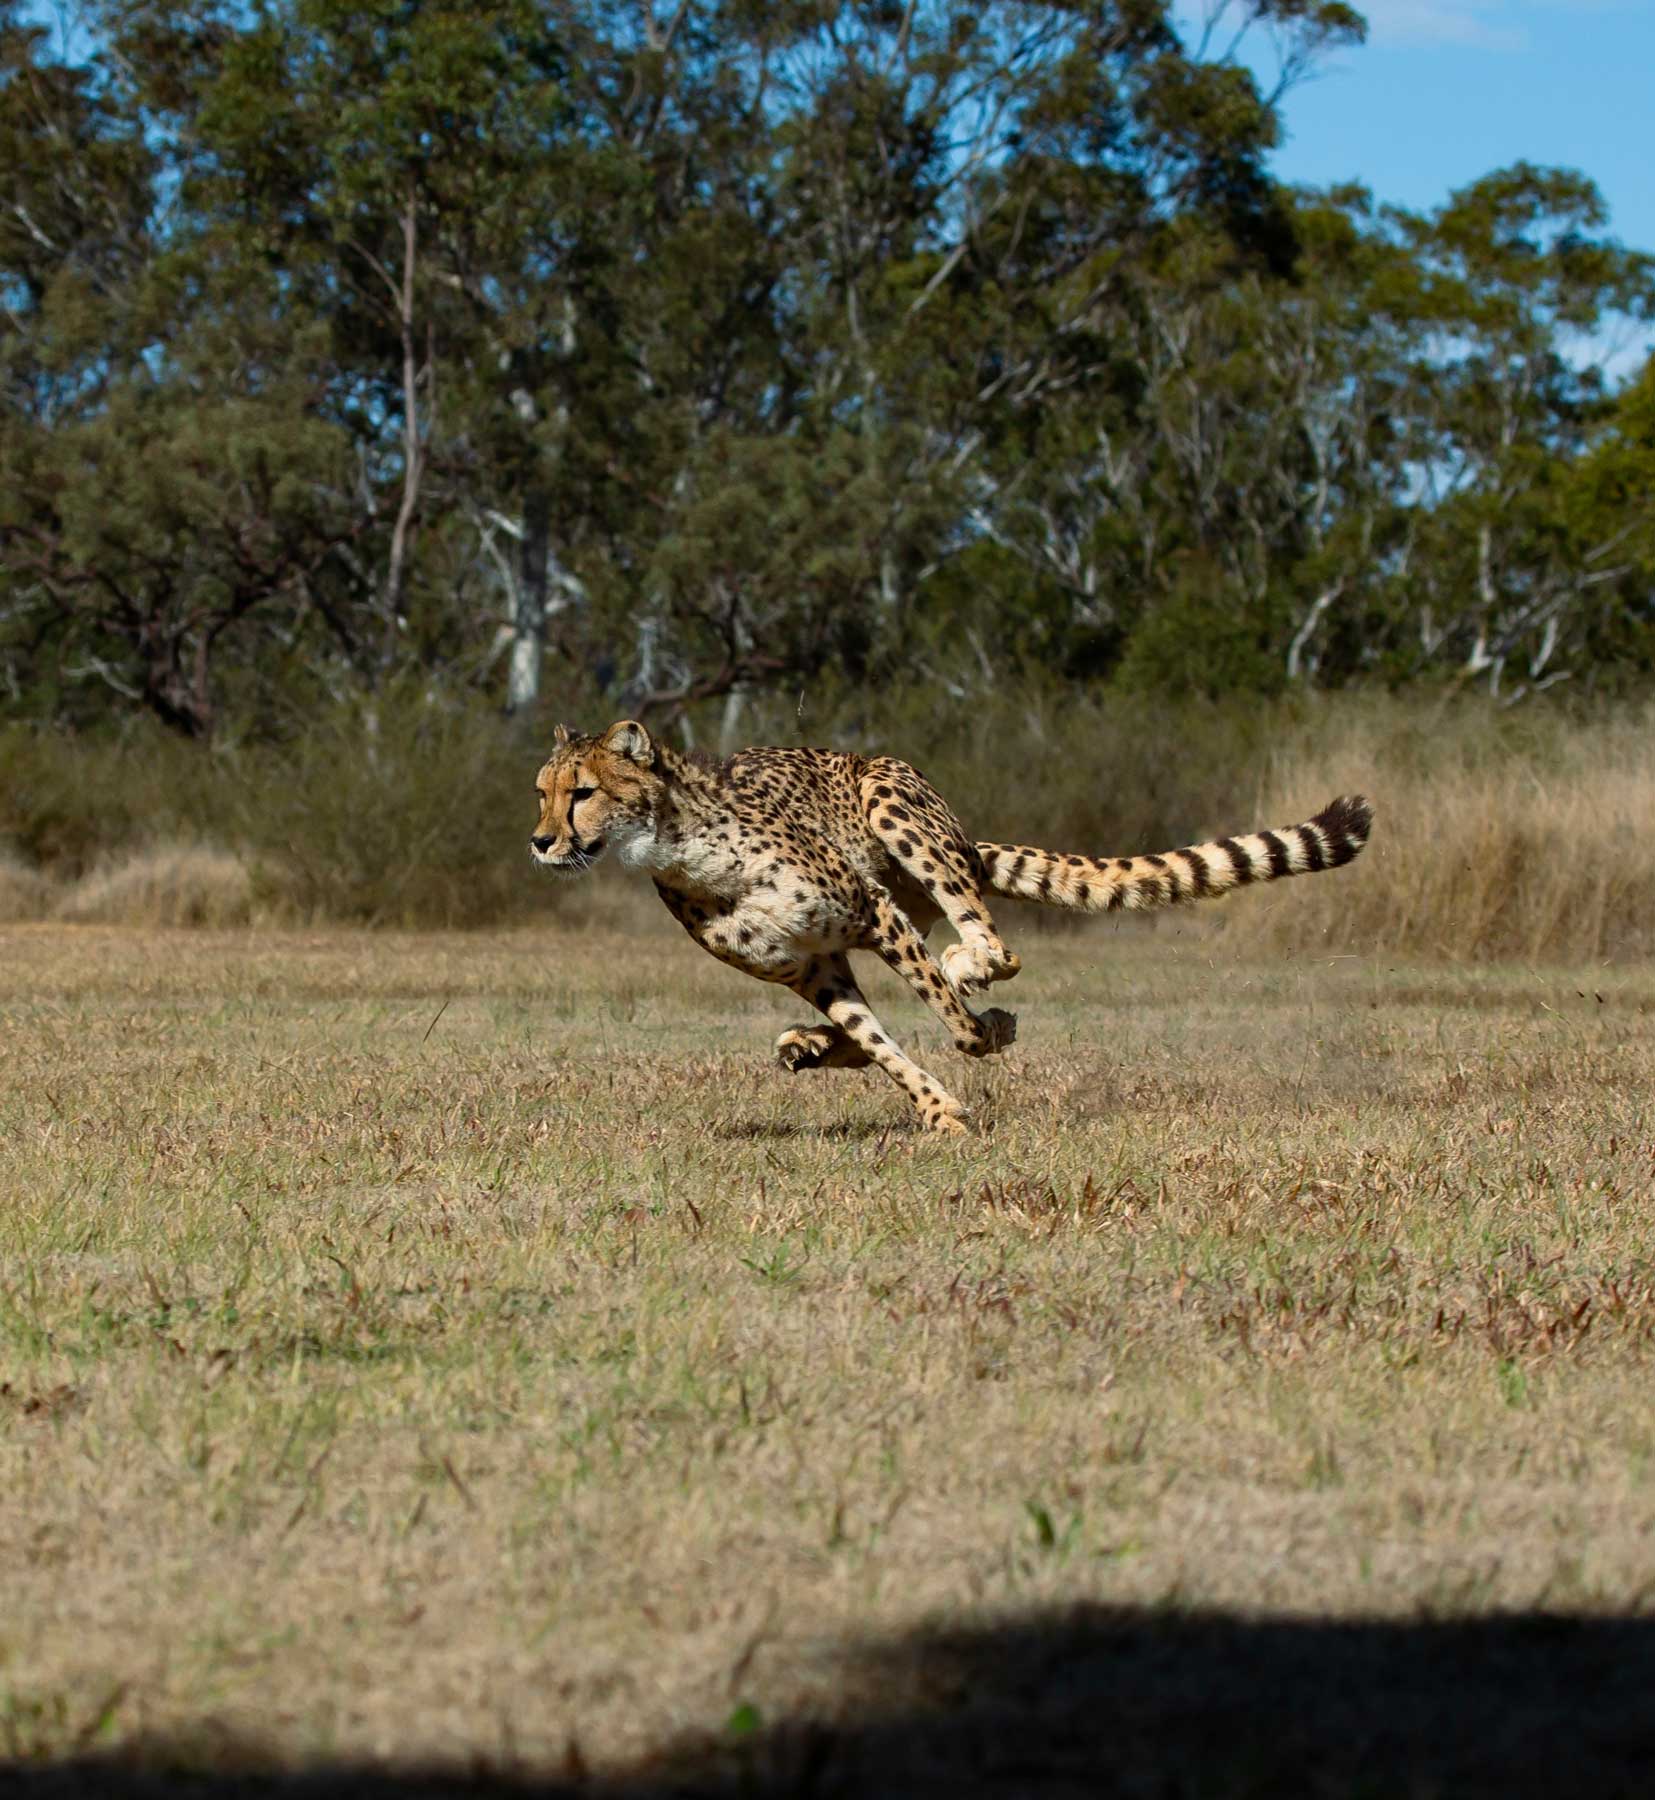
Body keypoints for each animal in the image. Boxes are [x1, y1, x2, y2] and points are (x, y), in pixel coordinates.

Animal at [531, 719, 1373, 1135]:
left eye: (583, 792)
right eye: (542, 792)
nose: (540, 841)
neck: (681, 846)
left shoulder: (871, 912)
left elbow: (956, 1022)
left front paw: (988, 1030)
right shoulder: (814, 965)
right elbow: (877, 1041)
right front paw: (935, 1110)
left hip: (893, 810)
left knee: (994, 946)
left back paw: (965, 969)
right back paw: (806, 1046)